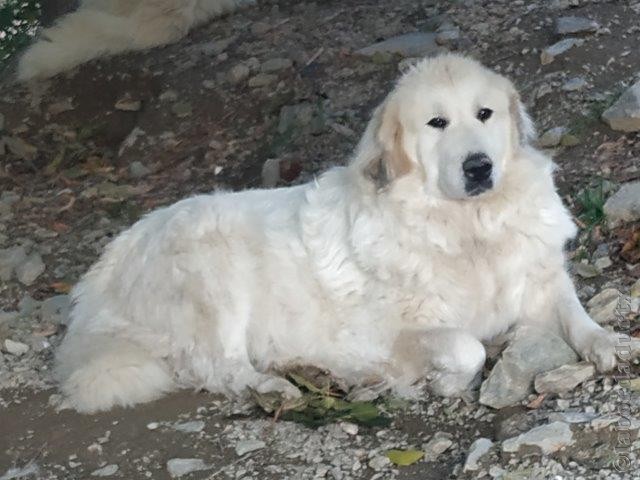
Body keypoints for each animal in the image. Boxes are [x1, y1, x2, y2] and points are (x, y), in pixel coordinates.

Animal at [58, 55, 620, 412]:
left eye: (485, 114)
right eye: (436, 123)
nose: (479, 167)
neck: (467, 227)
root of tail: (106, 267)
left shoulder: (539, 278)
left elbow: (574, 313)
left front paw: (607, 343)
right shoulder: (387, 332)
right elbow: (468, 347)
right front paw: (438, 383)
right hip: (215, 273)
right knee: (216, 366)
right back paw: (274, 388)